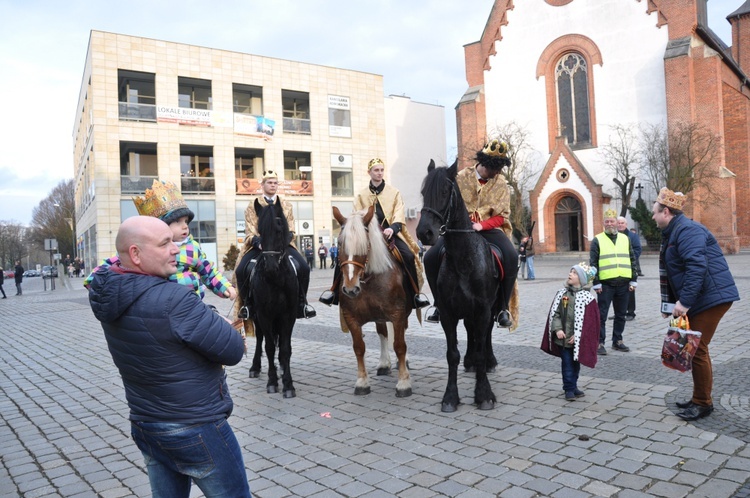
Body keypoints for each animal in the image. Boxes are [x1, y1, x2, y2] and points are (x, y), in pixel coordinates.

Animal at [241, 197, 300, 396]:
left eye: (279, 230)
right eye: (260, 232)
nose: (271, 267)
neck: (276, 280)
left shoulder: (288, 314)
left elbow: (285, 348)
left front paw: (288, 384)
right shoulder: (264, 314)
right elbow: (268, 347)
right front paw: (272, 382)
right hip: (255, 315)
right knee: (261, 339)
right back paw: (255, 367)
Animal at [334, 205, 414, 396]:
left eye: (365, 245)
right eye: (339, 243)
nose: (350, 288)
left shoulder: (398, 314)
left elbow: (400, 345)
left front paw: (403, 382)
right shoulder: (350, 317)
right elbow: (359, 347)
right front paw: (362, 382)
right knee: (382, 332)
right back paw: (384, 364)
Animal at [414, 160, 508, 412]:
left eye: (445, 192)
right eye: (424, 192)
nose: (424, 233)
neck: (464, 259)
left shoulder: (483, 309)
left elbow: (481, 347)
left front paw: (483, 394)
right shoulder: (448, 313)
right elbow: (452, 354)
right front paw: (450, 396)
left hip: (491, 308)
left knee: (486, 334)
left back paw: (489, 362)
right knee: (470, 332)